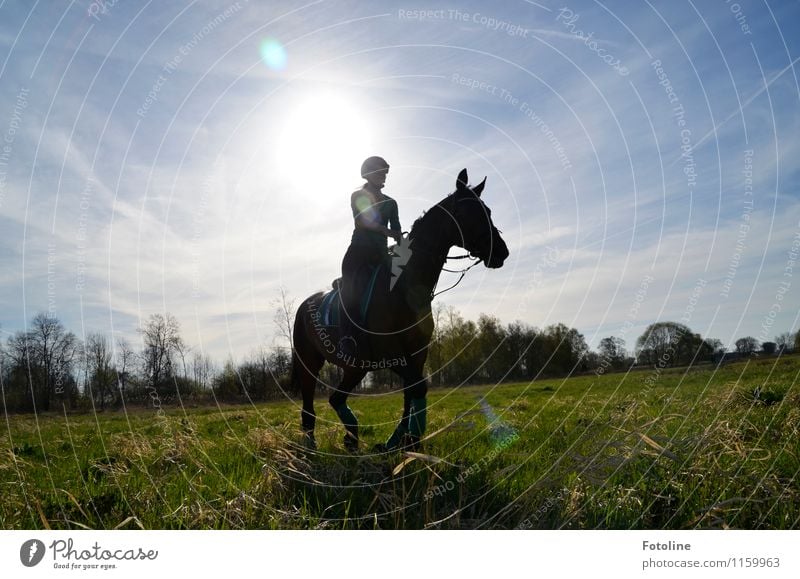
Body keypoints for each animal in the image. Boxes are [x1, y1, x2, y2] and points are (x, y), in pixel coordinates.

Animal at [290, 168, 510, 454]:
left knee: (336, 397)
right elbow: (417, 387)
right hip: (310, 364)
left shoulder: (417, 353)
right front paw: (410, 437)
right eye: (467, 212)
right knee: (309, 405)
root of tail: (305, 305)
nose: (501, 252)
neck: (404, 286)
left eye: (488, 210)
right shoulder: (393, 354)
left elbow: (412, 392)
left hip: (355, 368)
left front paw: (403, 441)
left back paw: (351, 439)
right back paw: (311, 446)